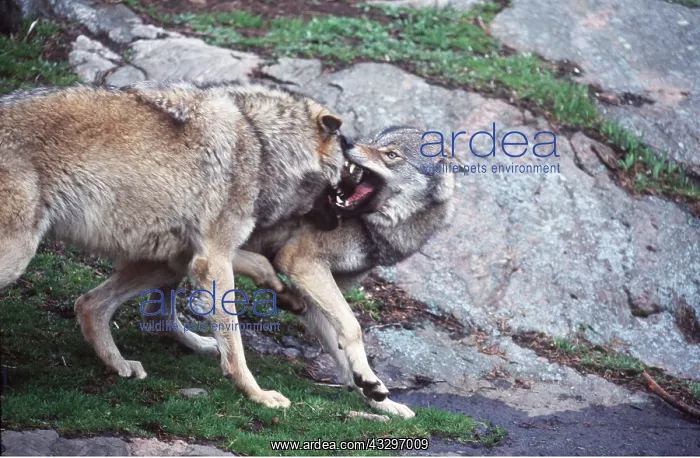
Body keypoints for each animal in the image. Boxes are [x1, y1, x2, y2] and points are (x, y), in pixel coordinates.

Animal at [0, 81, 348, 408]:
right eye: (347, 178)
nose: (339, 222)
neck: (262, 144)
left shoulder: (191, 254)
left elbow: (258, 265)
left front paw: (288, 297)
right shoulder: (212, 259)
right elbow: (235, 341)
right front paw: (257, 394)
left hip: (158, 264)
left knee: (88, 304)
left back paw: (121, 364)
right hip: (18, 257)